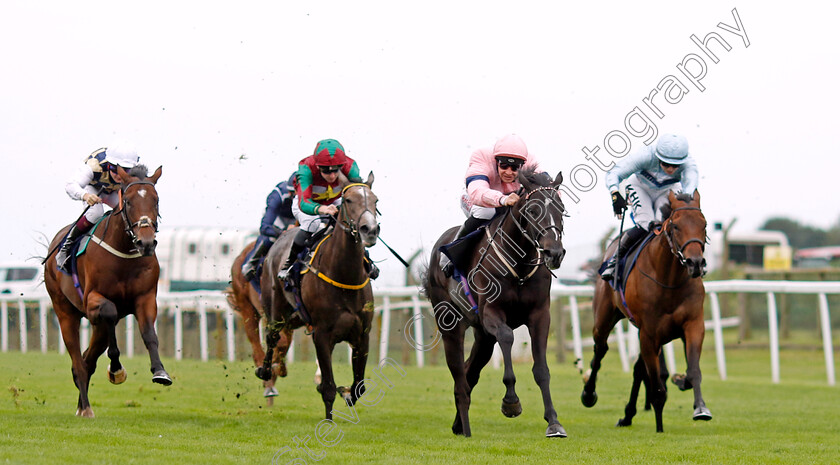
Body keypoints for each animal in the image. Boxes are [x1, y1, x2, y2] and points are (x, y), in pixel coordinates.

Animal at [44, 164, 171, 416]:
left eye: (156, 200)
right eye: (129, 201)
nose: (146, 243)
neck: (124, 254)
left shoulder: (145, 298)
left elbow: (149, 334)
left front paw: (160, 372)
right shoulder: (93, 300)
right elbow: (111, 313)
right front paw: (116, 369)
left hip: (95, 325)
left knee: (87, 360)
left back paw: (81, 404)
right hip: (65, 312)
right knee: (78, 361)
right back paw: (86, 408)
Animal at [254, 172, 376, 418]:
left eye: (376, 201)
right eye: (348, 200)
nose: (370, 229)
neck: (345, 276)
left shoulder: (362, 335)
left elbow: (359, 386)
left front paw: (346, 393)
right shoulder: (321, 334)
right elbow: (329, 387)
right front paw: (328, 420)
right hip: (275, 307)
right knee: (272, 336)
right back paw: (265, 371)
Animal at [424, 169, 568, 436]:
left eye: (561, 208)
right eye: (532, 210)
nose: (554, 253)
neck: (519, 265)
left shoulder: (540, 314)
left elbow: (541, 369)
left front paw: (554, 422)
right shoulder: (491, 312)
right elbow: (507, 337)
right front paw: (511, 402)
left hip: (482, 336)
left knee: (470, 371)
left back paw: (458, 424)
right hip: (450, 324)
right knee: (459, 375)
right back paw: (466, 427)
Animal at [580, 188, 712, 432]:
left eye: (704, 224)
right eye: (676, 226)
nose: (695, 263)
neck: (669, 281)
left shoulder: (692, 325)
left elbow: (693, 371)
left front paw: (700, 407)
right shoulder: (649, 334)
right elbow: (657, 386)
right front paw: (659, 426)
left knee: (638, 369)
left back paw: (628, 415)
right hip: (604, 318)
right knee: (600, 351)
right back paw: (589, 394)